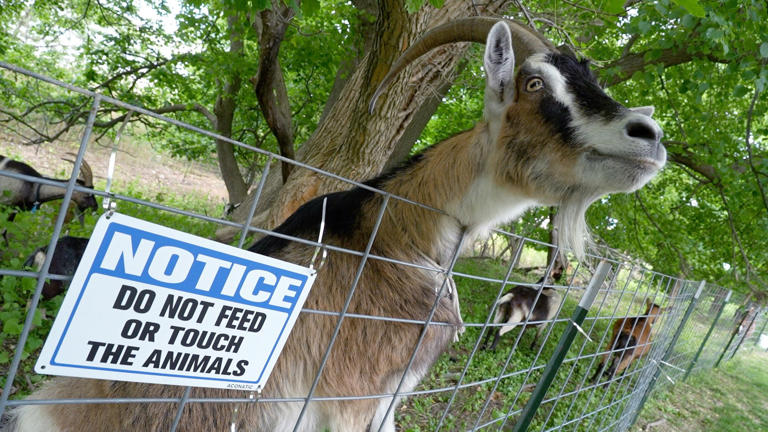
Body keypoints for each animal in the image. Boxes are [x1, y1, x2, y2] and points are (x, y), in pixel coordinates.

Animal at [3, 18, 665, 432]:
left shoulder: (391, 396)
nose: (650, 136)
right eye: (533, 83)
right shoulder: (354, 392)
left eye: (591, 79)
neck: (396, 234)